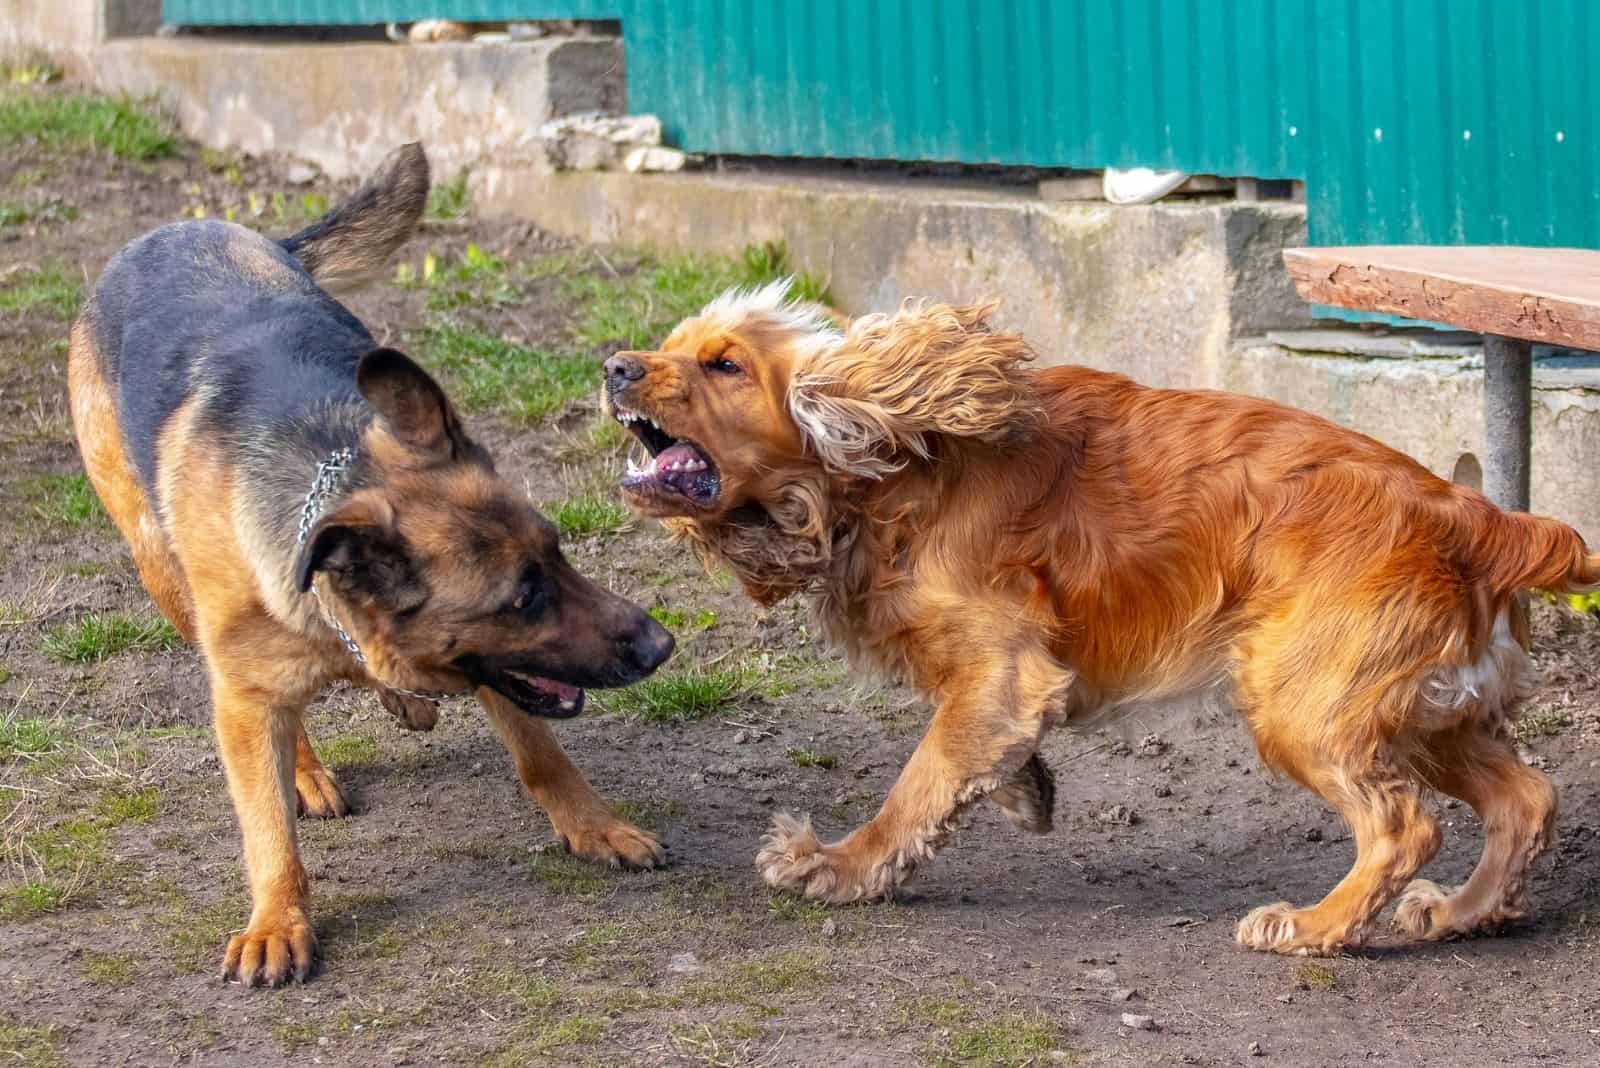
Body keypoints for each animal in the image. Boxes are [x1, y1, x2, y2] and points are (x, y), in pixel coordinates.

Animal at [65, 146, 668, 991]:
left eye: (557, 551)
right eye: (521, 598)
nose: (660, 645)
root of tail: (175, 227)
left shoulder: (499, 671)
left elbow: (543, 754)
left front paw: (595, 826)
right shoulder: (248, 686)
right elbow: (266, 830)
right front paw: (277, 921)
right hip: (161, 571)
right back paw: (308, 771)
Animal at [601, 282, 1587, 959]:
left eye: (726, 364)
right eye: (669, 346)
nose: (615, 366)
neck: (891, 467)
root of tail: (1479, 517)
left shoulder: (1004, 664)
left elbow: (917, 782)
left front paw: (837, 866)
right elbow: (967, 757)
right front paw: (1020, 786)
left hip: (1304, 704)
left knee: (1402, 827)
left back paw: (1316, 925)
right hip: (1417, 710)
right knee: (1526, 798)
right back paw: (1458, 912)